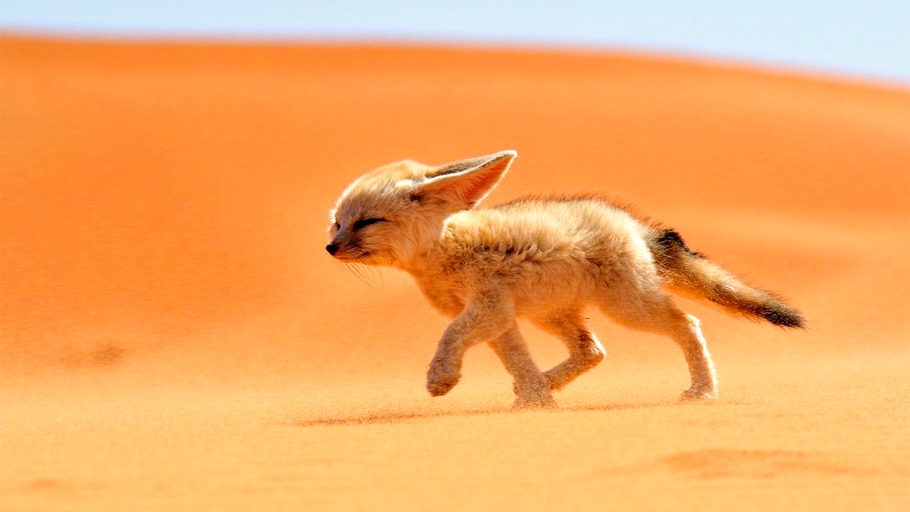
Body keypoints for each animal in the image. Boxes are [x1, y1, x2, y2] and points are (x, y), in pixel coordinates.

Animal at [326, 150, 804, 408]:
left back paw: (703, 390)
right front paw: (536, 399)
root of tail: (630, 223)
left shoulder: (487, 308)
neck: (446, 250)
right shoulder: (500, 317)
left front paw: (441, 378)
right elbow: (516, 359)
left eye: (367, 222)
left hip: (628, 308)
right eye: (337, 223)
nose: (330, 248)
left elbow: (450, 337)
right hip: (551, 314)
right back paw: (545, 383)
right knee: (592, 351)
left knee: (687, 324)